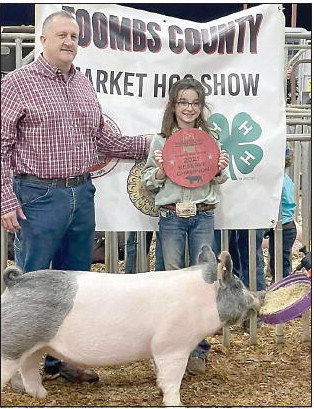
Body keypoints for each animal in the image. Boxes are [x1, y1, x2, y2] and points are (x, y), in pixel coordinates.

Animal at [1, 249, 264, 404]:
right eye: (238, 285)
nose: (258, 297)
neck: (200, 301)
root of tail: (16, 282)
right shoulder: (172, 346)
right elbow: (173, 379)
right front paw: (177, 404)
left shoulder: (158, 349)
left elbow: (161, 374)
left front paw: (159, 390)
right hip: (12, 343)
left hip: (34, 344)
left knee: (29, 367)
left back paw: (42, 395)